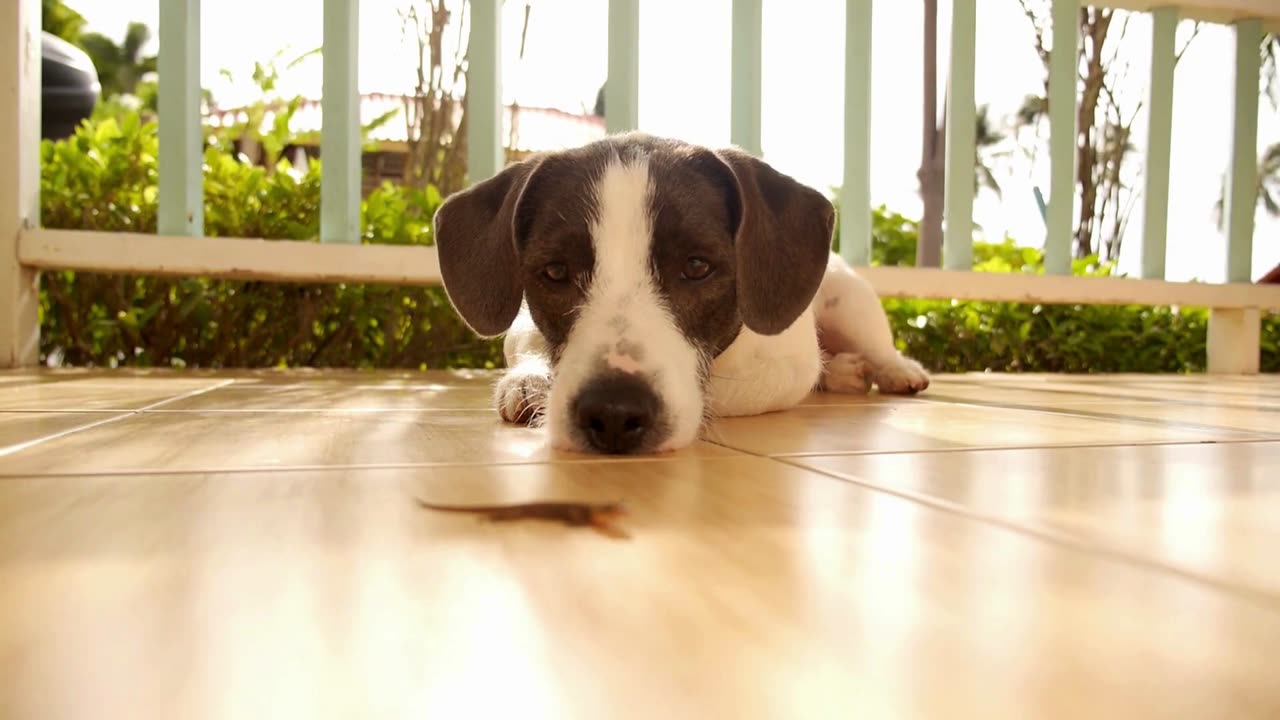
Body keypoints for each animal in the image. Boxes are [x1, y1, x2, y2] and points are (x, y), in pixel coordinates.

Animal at [435, 131, 926, 450]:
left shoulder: (789, 363)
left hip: (849, 299)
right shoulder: (522, 327)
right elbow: (529, 349)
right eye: (555, 271)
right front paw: (531, 382)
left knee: (878, 347)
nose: (613, 413)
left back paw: (891, 369)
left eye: (696, 266)